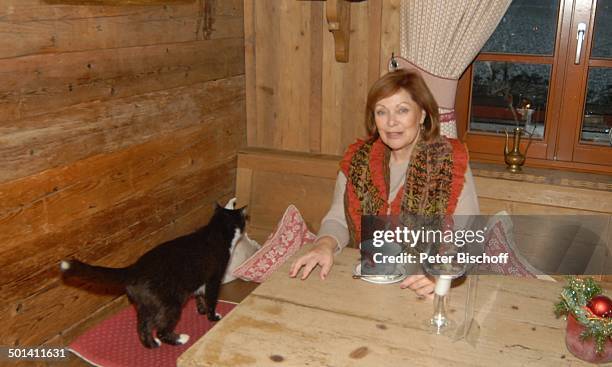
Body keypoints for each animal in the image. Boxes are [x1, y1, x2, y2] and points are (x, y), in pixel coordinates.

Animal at [59, 203, 246, 350]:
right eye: (243, 221)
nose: (245, 224)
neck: (216, 231)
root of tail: (134, 269)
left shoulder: (199, 280)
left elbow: (199, 296)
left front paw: (201, 310)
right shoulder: (214, 278)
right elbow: (211, 298)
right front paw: (213, 317)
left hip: (145, 304)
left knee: (143, 326)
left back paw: (152, 344)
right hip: (171, 305)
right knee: (161, 330)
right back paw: (180, 339)